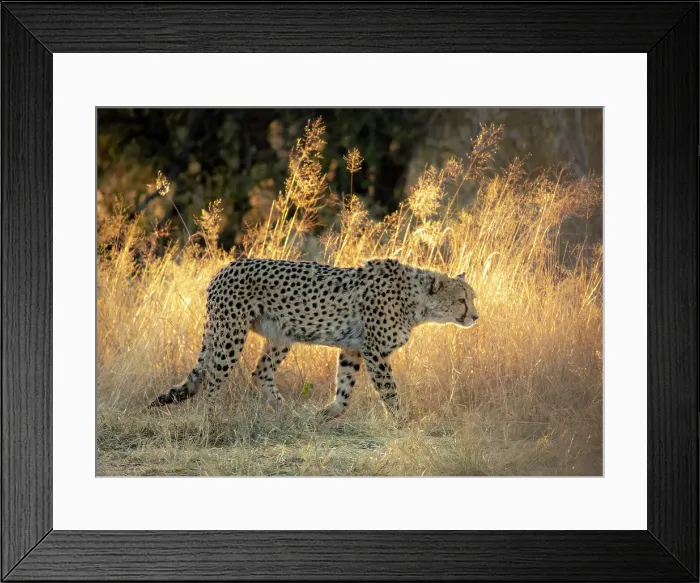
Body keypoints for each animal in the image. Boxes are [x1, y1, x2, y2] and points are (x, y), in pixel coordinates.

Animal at [149, 257, 479, 418]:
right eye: (462, 300)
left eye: (472, 298)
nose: (475, 316)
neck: (416, 301)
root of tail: (225, 267)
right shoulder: (374, 351)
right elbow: (389, 391)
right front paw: (403, 422)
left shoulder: (353, 348)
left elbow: (344, 389)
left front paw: (326, 414)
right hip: (230, 334)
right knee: (213, 380)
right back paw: (212, 421)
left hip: (281, 336)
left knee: (260, 373)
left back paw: (286, 412)